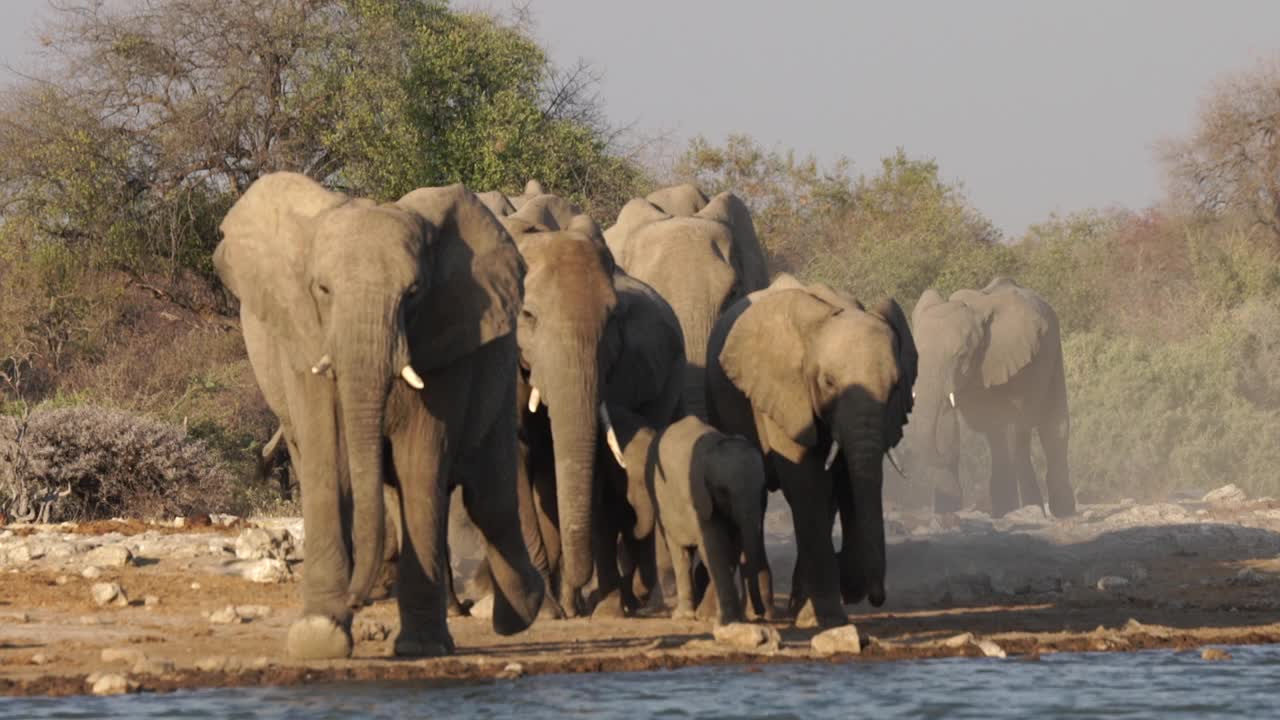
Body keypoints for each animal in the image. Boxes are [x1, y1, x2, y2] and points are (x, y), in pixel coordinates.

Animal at [216, 172, 545, 655]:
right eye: (322, 290)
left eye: (414, 293)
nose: (356, 600)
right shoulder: (303, 339)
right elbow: (327, 460)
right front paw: (320, 637)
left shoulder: (444, 343)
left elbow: (420, 464)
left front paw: (420, 649)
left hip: (499, 373)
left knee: (488, 493)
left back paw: (520, 612)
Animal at [706, 271, 916, 625]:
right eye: (828, 382)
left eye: (896, 386)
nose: (876, 598)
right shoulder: (785, 392)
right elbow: (807, 484)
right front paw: (831, 616)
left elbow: (843, 483)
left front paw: (818, 609)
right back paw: (762, 611)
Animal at [906, 274, 1075, 515]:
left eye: (961, 355)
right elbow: (948, 424)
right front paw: (947, 511)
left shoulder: (1017, 359)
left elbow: (1016, 423)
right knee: (999, 435)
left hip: (1053, 351)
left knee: (1051, 429)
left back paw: (1059, 510)